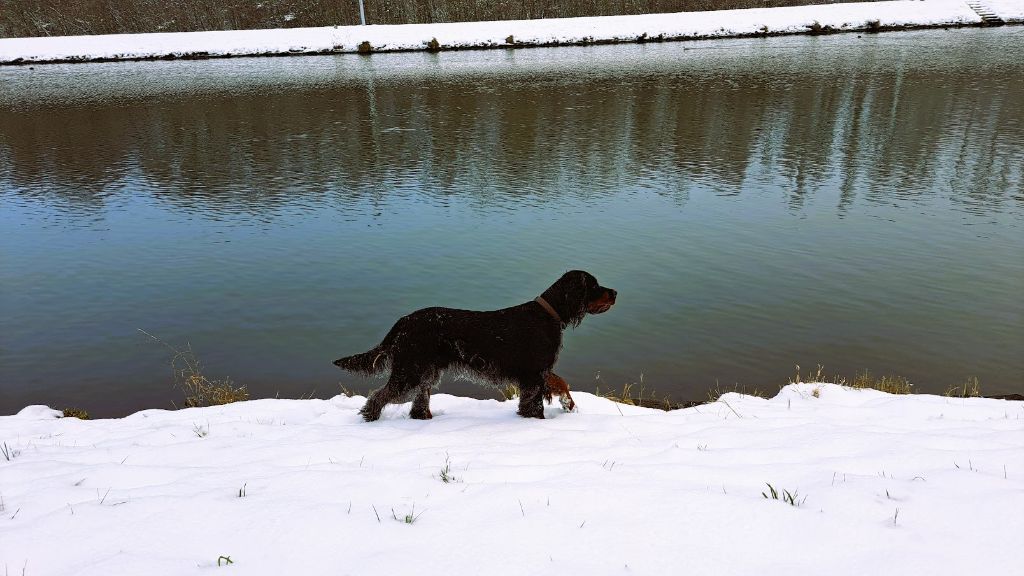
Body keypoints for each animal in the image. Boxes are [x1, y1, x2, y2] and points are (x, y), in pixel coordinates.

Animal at [333, 270, 614, 420]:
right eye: (594, 285)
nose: (615, 292)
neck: (548, 314)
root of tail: (403, 321)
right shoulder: (534, 374)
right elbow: (537, 401)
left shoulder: (538, 373)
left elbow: (556, 385)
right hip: (409, 371)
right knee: (380, 395)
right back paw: (370, 418)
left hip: (425, 371)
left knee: (418, 401)